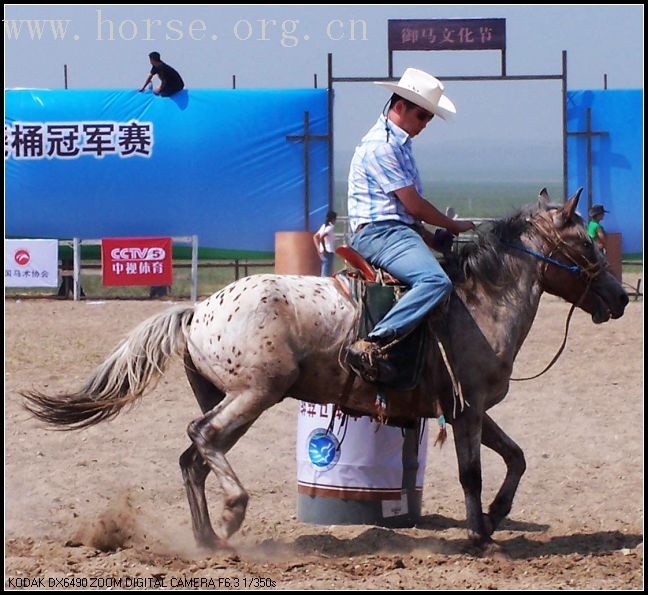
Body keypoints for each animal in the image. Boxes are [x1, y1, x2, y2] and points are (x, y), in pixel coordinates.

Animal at [24, 190, 628, 548]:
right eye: (584, 242)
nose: (621, 297)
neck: (477, 301)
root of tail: (197, 309)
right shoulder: (468, 409)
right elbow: (473, 473)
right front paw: (479, 535)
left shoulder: (468, 408)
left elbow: (517, 457)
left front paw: (497, 517)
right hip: (255, 394)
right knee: (202, 439)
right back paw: (233, 515)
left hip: (233, 398)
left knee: (193, 457)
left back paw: (208, 540)